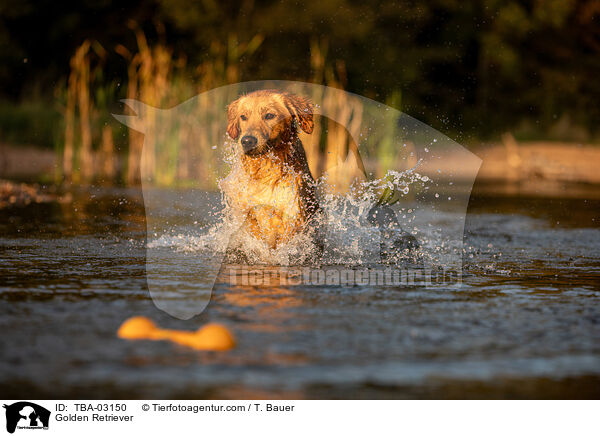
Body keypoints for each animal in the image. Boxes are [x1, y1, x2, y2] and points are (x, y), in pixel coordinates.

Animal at [221, 89, 324, 262]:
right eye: (243, 116)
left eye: (269, 115)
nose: (247, 141)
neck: (265, 170)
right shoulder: (246, 211)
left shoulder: (293, 213)